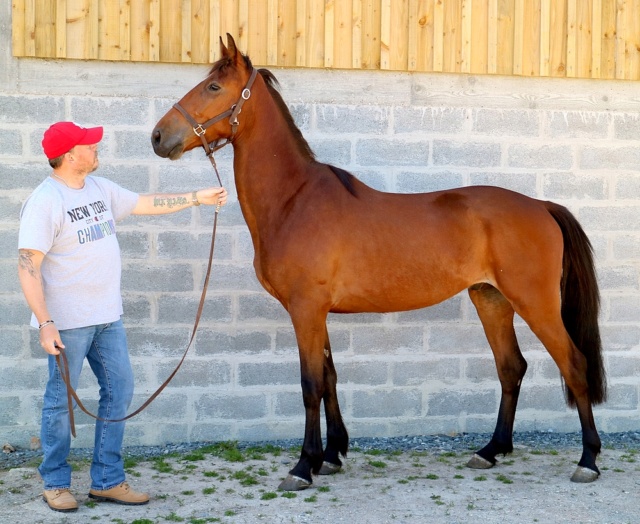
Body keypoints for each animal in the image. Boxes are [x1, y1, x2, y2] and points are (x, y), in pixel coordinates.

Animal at [150, 34, 604, 490]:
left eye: (213, 87)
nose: (157, 136)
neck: (295, 200)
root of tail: (542, 206)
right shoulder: (317, 312)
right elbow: (330, 378)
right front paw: (331, 456)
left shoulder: (305, 309)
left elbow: (310, 384)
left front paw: (303, 466)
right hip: (491, 299)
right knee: (511, 368)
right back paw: (490, 451)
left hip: (535, 303)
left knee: (574, 365)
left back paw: (587, 460)